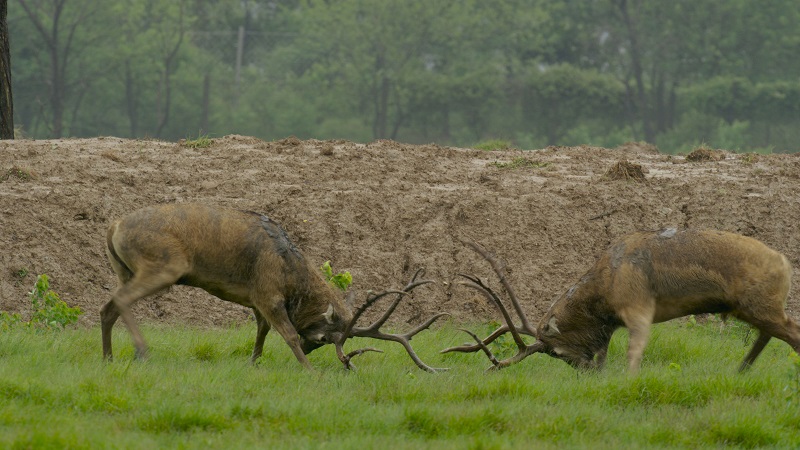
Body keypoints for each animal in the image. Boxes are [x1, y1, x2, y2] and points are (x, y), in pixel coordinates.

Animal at [102, 206, 446, 370]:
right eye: (325, 339)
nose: (311, 350)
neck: (289, 273)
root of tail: (113, 226)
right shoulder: (266, 292)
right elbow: (288, 334)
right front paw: (310, 370)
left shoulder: (256, 298)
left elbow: (262, 332)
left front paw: (252, 363)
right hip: (164, 264)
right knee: (119, 300)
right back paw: (142, 351)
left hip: (123, 269)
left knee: (108, 306)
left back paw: (109, 357)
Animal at [444, 229, 800, 372]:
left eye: (555, 351)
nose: (583, 371)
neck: (606, 289)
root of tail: (786, 263)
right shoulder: (613, 325)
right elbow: (606, 352)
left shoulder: (638, 307)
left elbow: (634, 352)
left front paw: (629, 380)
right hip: (752, 309)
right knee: (768, 335)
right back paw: (740, 370)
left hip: (762, 305)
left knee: (792, 332)